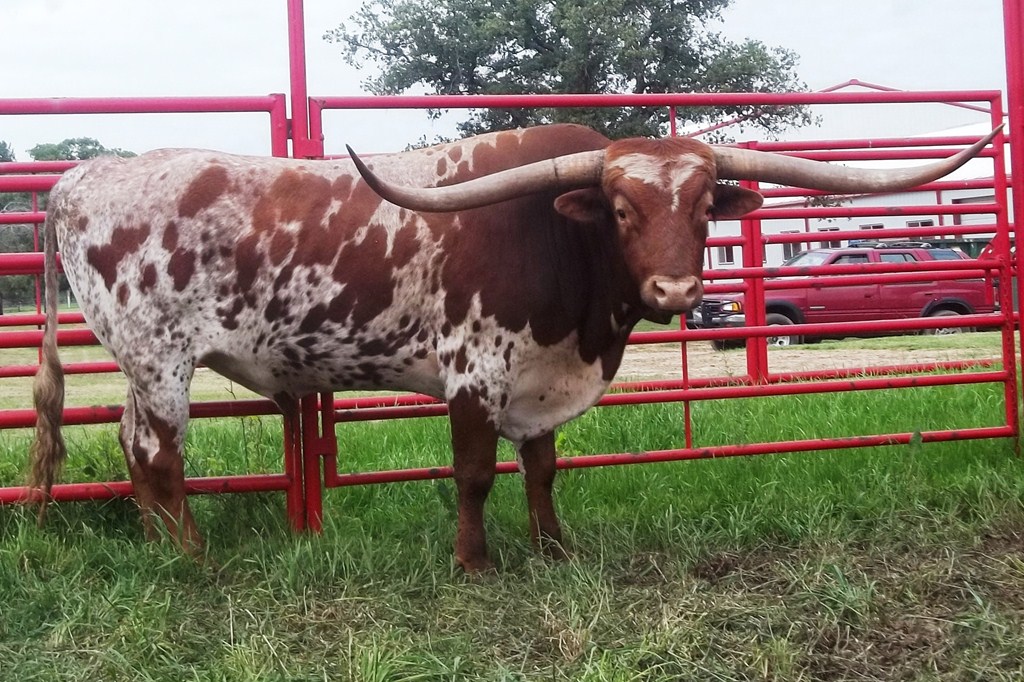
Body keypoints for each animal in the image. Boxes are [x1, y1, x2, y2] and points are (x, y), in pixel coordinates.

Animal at [29, 123, 997, 572]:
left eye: (700, 209)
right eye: (620, 210)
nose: (678, 293)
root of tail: (85, 175)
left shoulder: (541, 377)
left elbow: (541, 466)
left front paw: (554, 547)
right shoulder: (474, 371)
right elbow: (473, 473)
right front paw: (474, 561)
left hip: (142, 367)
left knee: (135, 449)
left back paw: (165, 549)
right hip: (159, 359)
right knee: (158, 454)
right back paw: (191, 557)